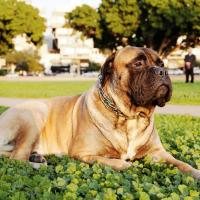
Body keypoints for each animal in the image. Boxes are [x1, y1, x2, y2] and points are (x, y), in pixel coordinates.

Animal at [0, 46, 200, 178]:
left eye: (161, 63)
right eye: (138, 63)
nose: (162, 71)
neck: (130, 116)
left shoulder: (158, 153)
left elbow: (181, 163)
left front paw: (195, 172)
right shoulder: (85, 153)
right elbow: (114, 162)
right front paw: (129, 166)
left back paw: (37, 157)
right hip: (34, 114)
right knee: (17, 158)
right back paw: (38, 165)